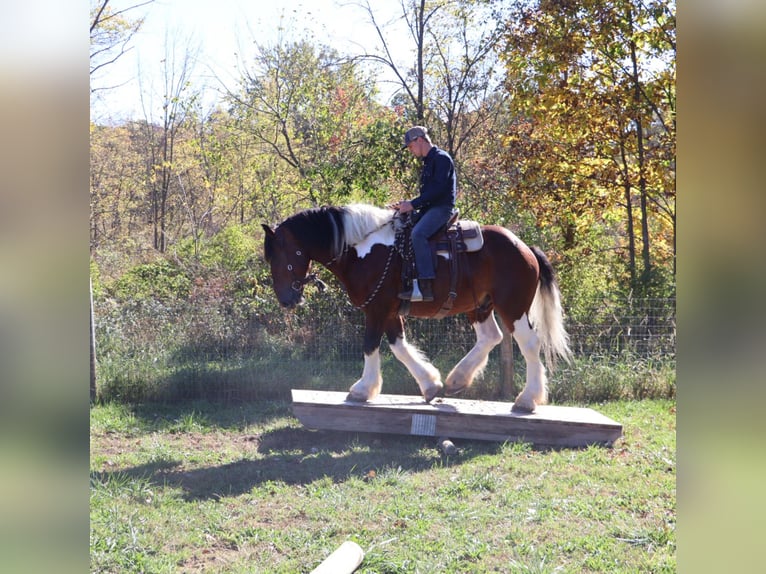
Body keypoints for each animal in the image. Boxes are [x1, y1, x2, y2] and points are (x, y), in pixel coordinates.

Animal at [262, 203, 571, 413]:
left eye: (279, 256)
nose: (286, 300)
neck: (360, 249)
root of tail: (526, 248)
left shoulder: (376, 309)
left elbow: (370, 345)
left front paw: (363, 389)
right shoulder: (388, 311)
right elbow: (399, 347)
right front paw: (430, 384)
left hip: (513, 307)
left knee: (529, 344)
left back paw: (527, 399)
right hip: (480, 305)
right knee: (489, 337)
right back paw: (457, 379)